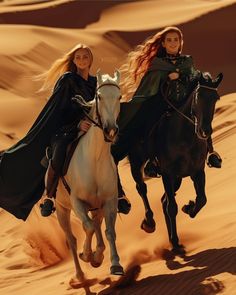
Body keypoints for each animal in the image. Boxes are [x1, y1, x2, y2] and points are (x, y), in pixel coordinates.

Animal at [54, 70, 123, 286]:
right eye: (99, 96)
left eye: (119, 97)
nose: (111, 130)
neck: (94, 159)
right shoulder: (78, 203)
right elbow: (88, 227)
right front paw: (87, 255)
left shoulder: (109, 201)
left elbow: (109, 231)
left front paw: (113, 263)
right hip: (61, 209)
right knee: (71, 239)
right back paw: (80, 275)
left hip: (97, 206)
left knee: (98, 225)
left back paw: (97, 256)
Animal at [118, 72, 223, 254]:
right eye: (198, 96)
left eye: (215, 98)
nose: (204, 131)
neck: (185, 138)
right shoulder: (167, 174)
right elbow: (172, 208)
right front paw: (175, 242)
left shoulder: (197, 171)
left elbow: (202, 199)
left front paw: (189, 208)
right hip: (137, 163)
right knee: (142, 188)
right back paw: (150, 223)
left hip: (178, 179)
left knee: (164, 200)